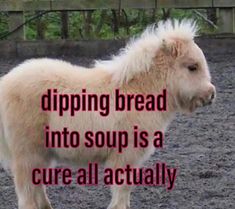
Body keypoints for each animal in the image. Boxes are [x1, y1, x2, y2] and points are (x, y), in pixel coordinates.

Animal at [0, 19, 215, 209]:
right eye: (192, 67)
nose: (211, 94)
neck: (138, 91)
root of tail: (5, 84)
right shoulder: (125, 154)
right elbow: (122, 188)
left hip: (41, 154)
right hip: (27, 153)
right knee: (26, 193)